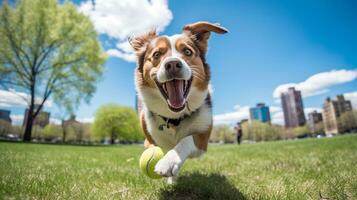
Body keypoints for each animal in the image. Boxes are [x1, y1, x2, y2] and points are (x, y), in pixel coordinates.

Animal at [129, 21, 227, 183]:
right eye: (157, 54)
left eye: (187, 51)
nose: (173, 64)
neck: (174, 118)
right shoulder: (149, 140)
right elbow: (156, 148)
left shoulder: (203, 139)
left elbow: (186, 140)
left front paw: (169, 161)